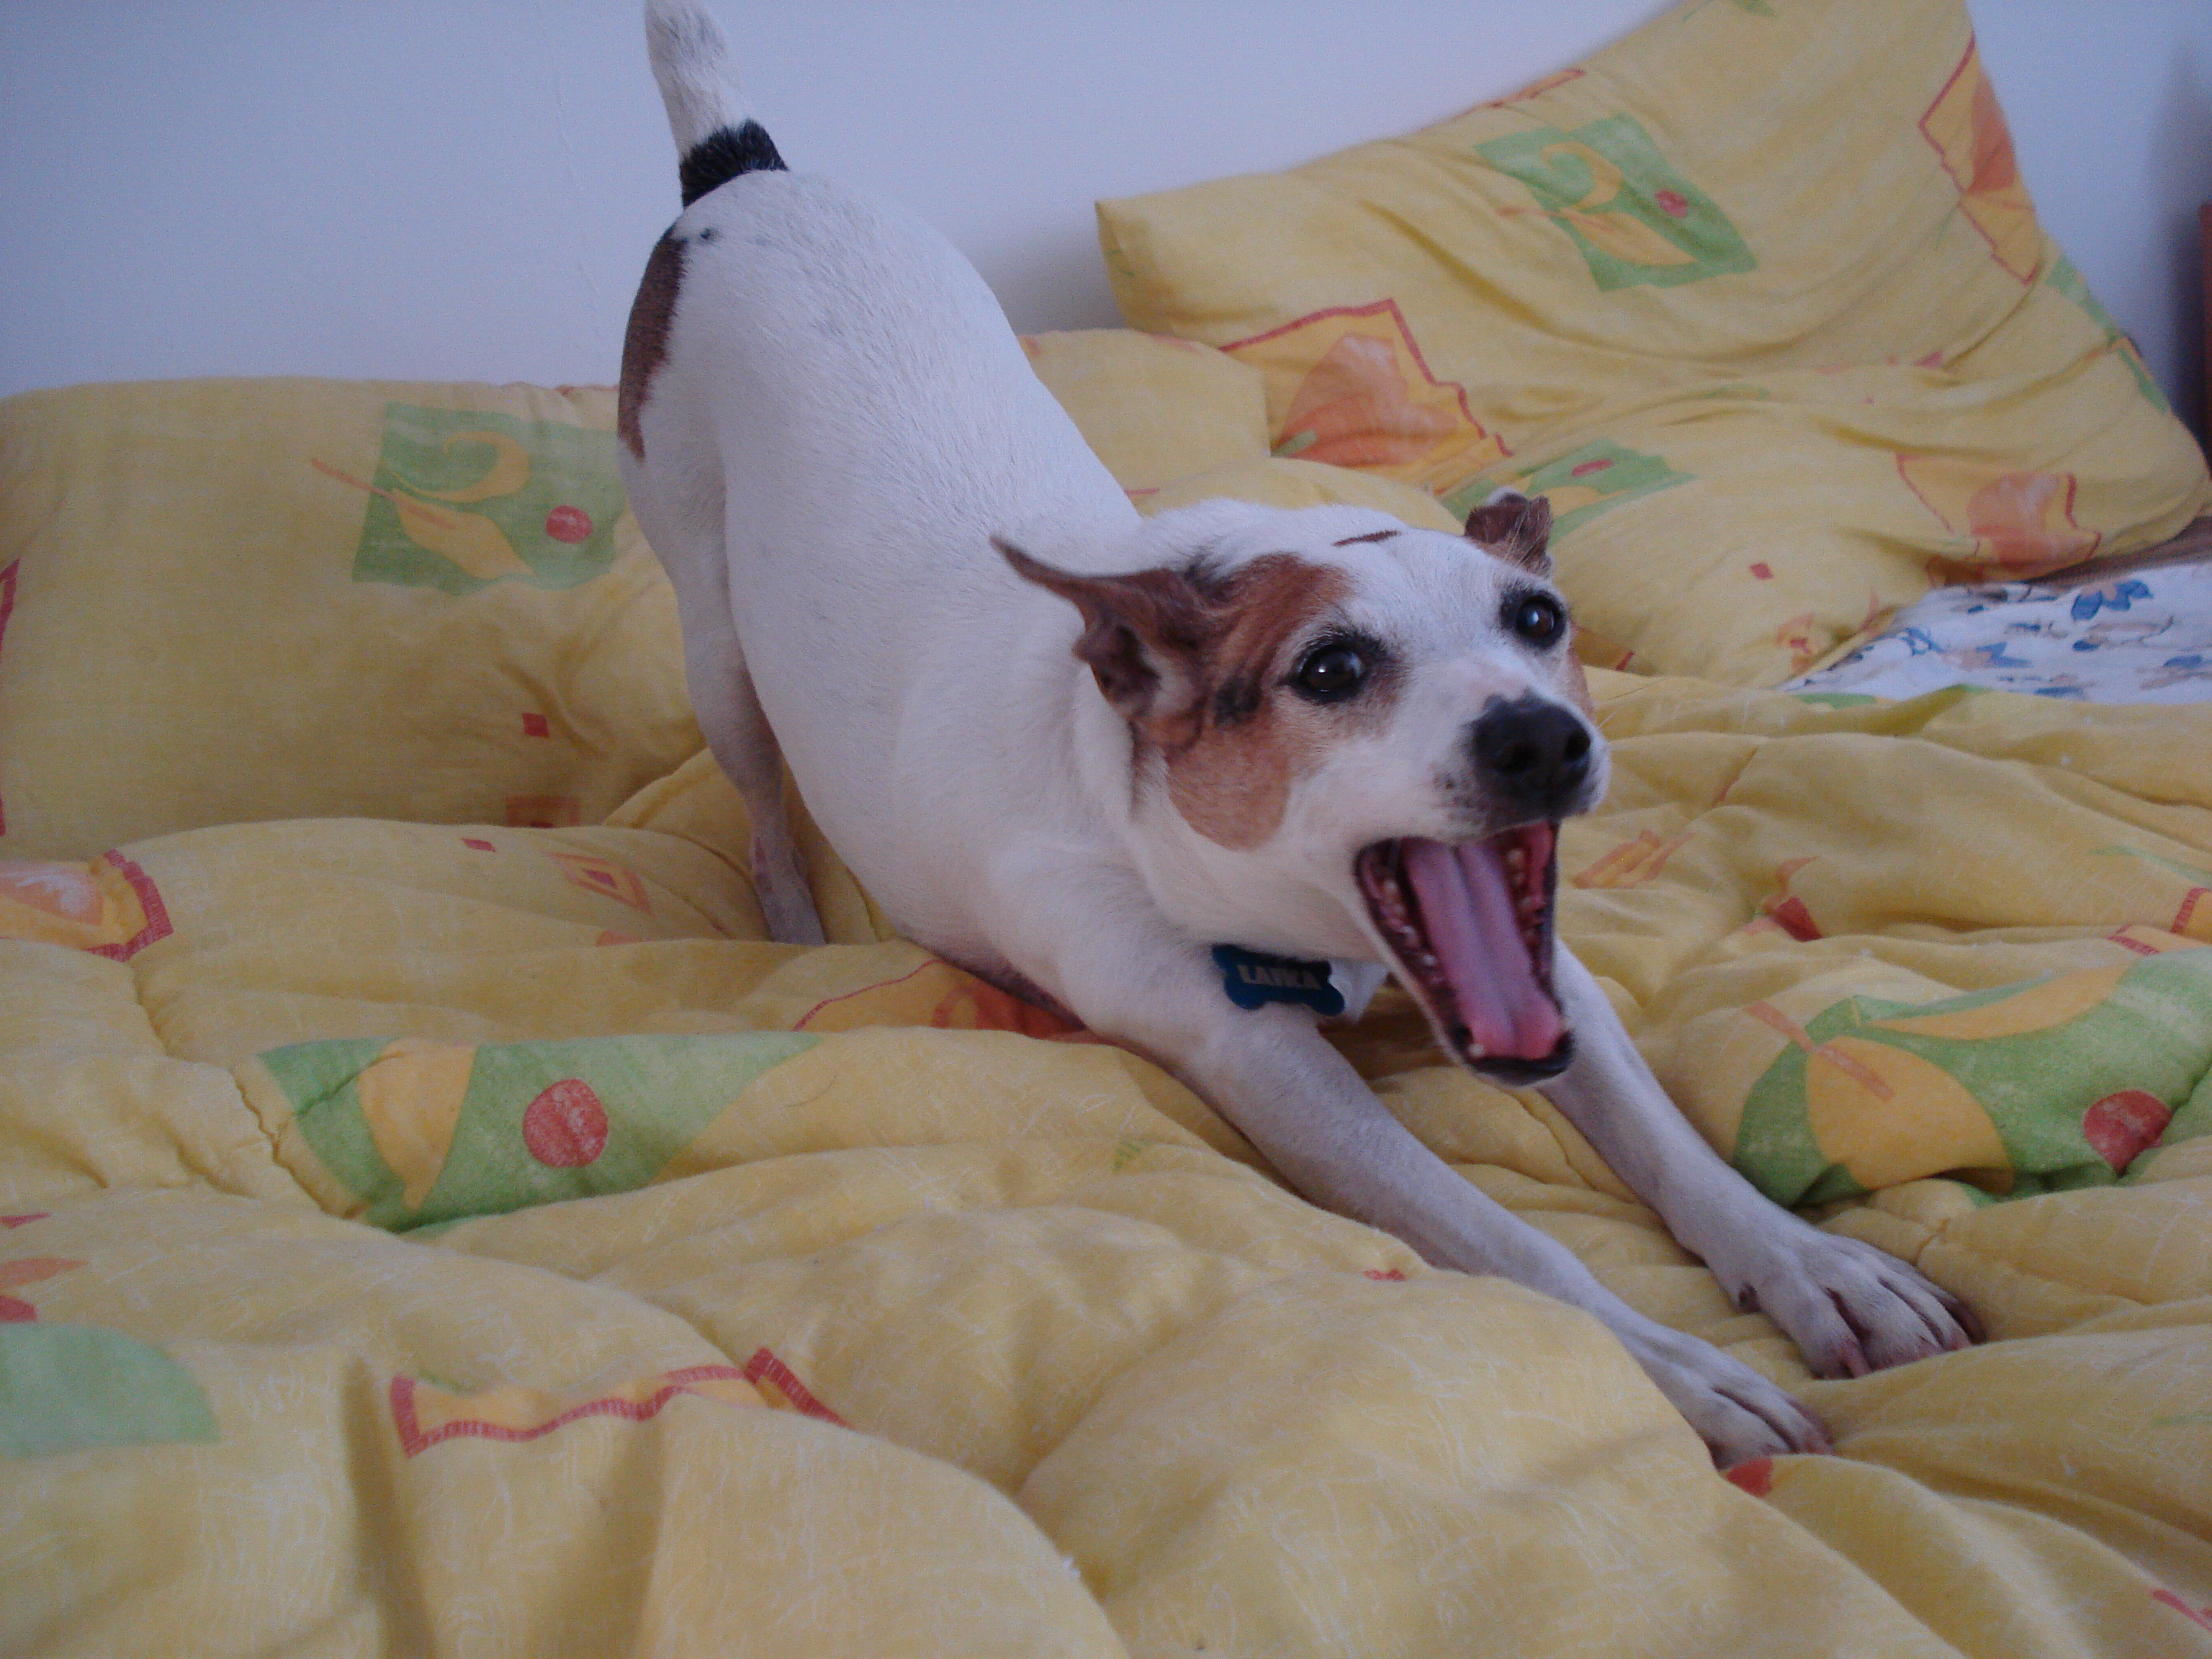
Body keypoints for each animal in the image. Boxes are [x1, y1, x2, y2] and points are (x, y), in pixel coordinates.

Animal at [617, 0, 1976, 1465]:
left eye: (1541, 617)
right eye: (1330, 667)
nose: (1540, 740)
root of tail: (745, 177)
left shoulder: (1555, 978)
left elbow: (1676, 1148)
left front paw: (1814, 1264)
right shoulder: (1256, 1059)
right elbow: (1511, 1240)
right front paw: (1682, 1369)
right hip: (715, 645)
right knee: (762, 807)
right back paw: (794, 924)